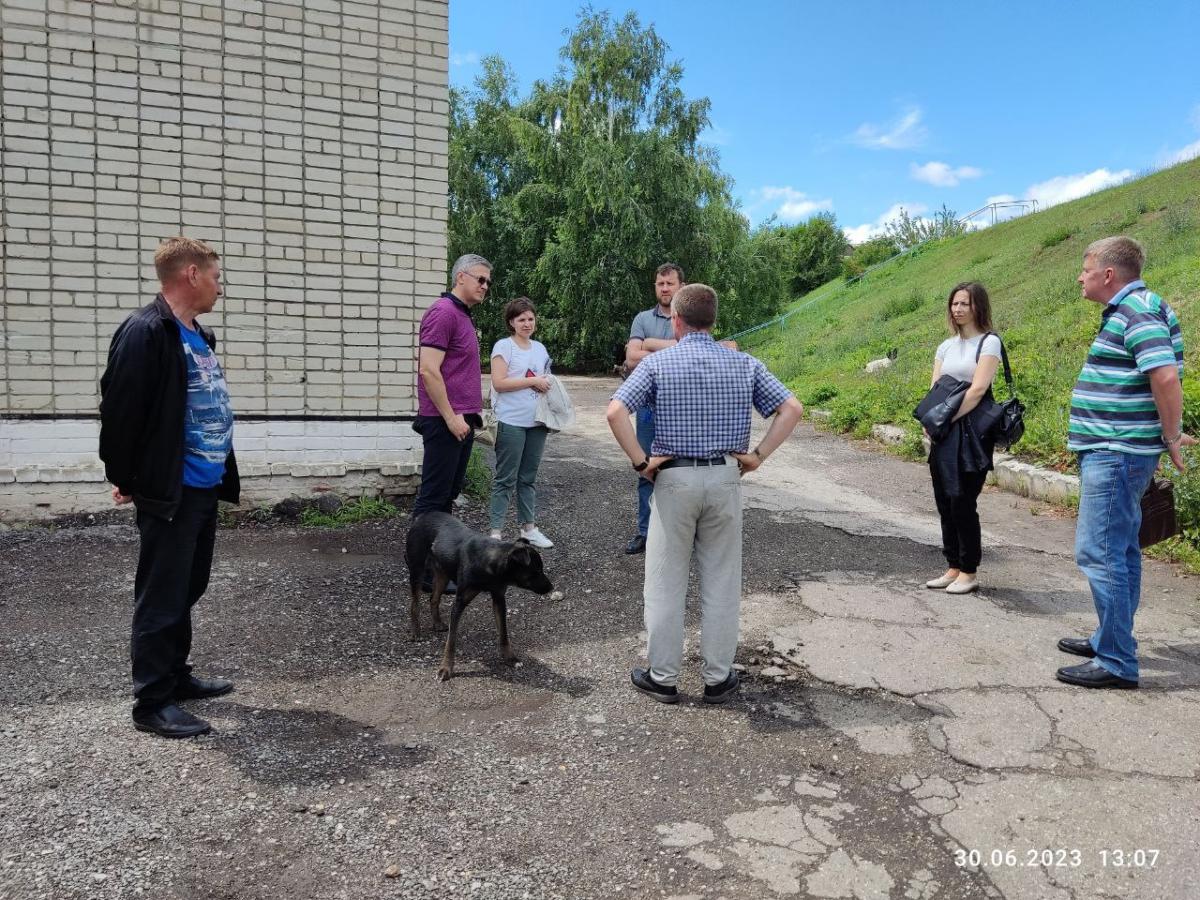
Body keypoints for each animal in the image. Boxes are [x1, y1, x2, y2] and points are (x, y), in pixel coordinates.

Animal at [403, 511, 552, 681]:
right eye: (536, 572)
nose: (551, 587)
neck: (490, 563)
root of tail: (423, 515)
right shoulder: (459, 602)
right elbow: (451, 641)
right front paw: (446, 668)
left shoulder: (499, 598)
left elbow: (504, 632)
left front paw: (510, 658)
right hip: (417, 570)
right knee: (415, 604)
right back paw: (416, 632)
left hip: (443, 572)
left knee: (433, 598)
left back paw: (437, 623)